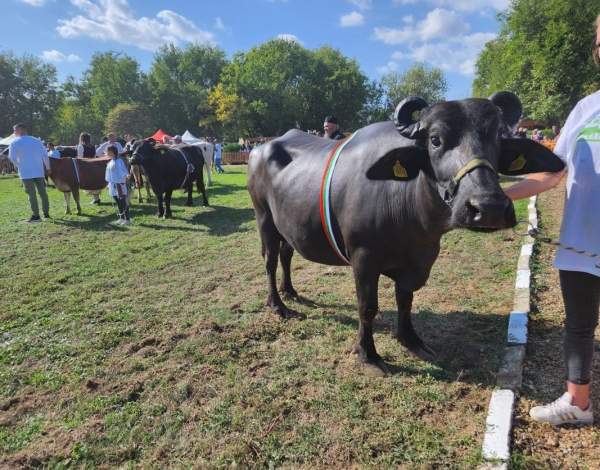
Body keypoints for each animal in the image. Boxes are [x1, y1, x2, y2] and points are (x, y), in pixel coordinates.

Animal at [246, 93, 564, 376]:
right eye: (435, 139)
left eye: (496, 137)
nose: (489, 207)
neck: (410, 211)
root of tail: (260, 149)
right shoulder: (363, 259)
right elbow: (367, 307)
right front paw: (369, 355)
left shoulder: (420, 260)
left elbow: (405, 300)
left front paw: (411, 340)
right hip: (264, 219)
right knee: (269, 260)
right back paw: (278, 305)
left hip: (287, 226)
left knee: (286, 255)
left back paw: (290, 291)